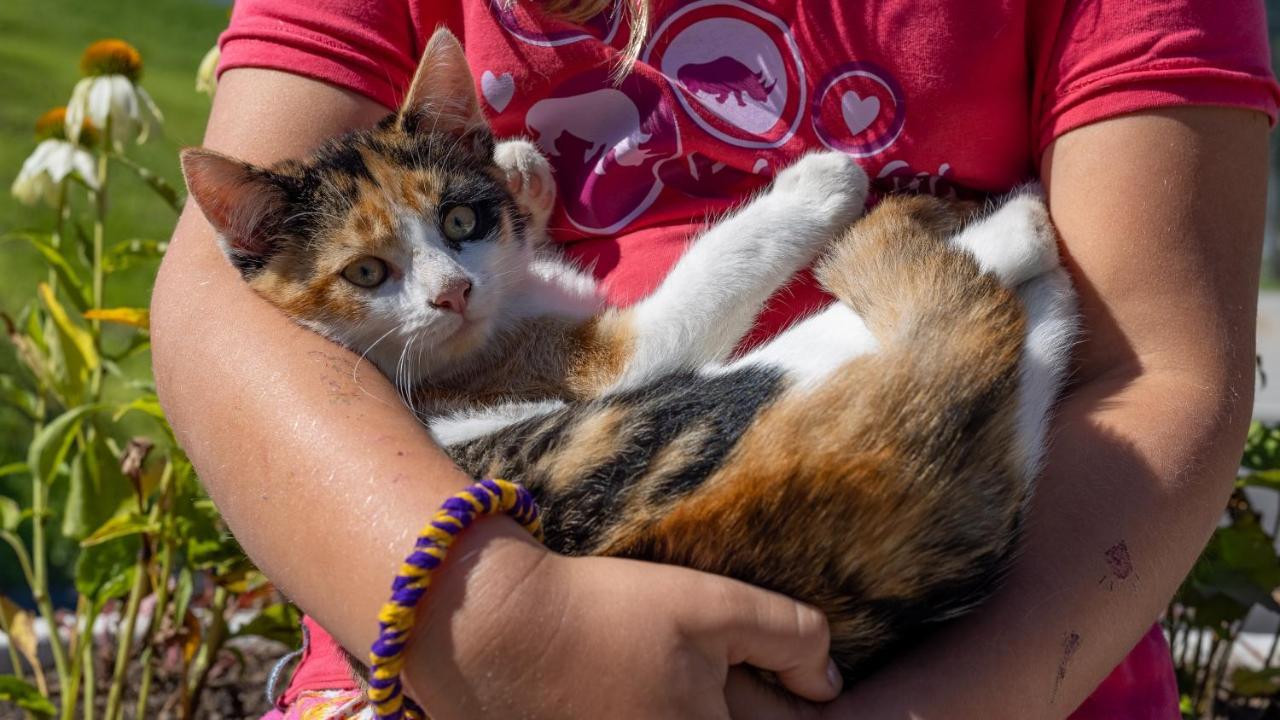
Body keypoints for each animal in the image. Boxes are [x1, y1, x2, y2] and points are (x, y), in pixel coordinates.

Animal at [183, 26, 1080, 676]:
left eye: (460, 221)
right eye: (367, 272)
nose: (453, 293)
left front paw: (519, 166)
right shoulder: (603, 360)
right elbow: (702, 281)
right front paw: (818, 185)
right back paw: (1012, 228)